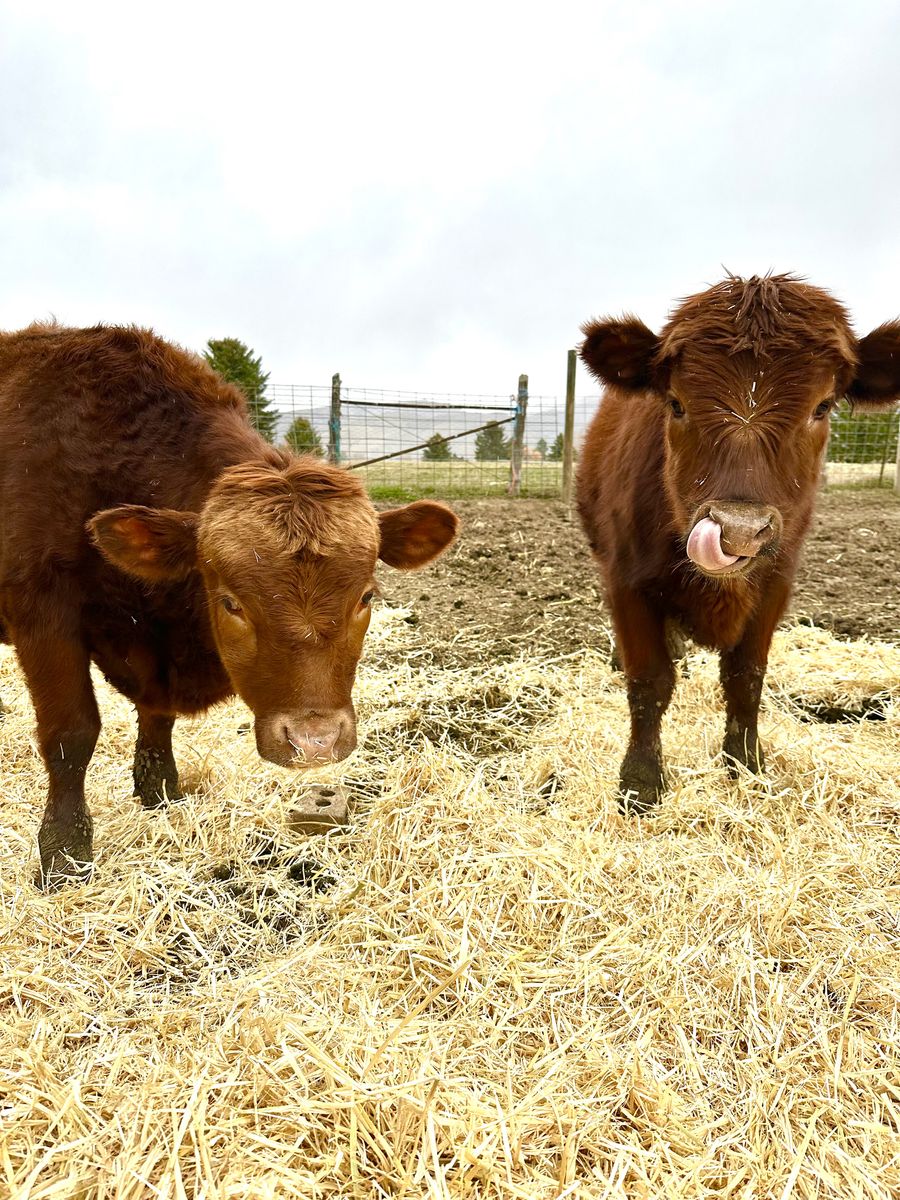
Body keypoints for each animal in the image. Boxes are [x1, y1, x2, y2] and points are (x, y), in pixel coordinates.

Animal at [0, 323, 458, 885]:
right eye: (231, 603)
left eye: (366, 597)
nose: (314, 742)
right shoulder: (43, 615)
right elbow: (72, 733)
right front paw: (64, 850)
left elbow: (158, 718)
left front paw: (161, 792)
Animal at [576, 274, 900, 814]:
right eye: (676, 403)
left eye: (822, 407)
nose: (739, 529)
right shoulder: (625, 580)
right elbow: (649, 680)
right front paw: (640, 780)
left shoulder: (776, 583)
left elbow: (747, 676)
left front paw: (746, 762)